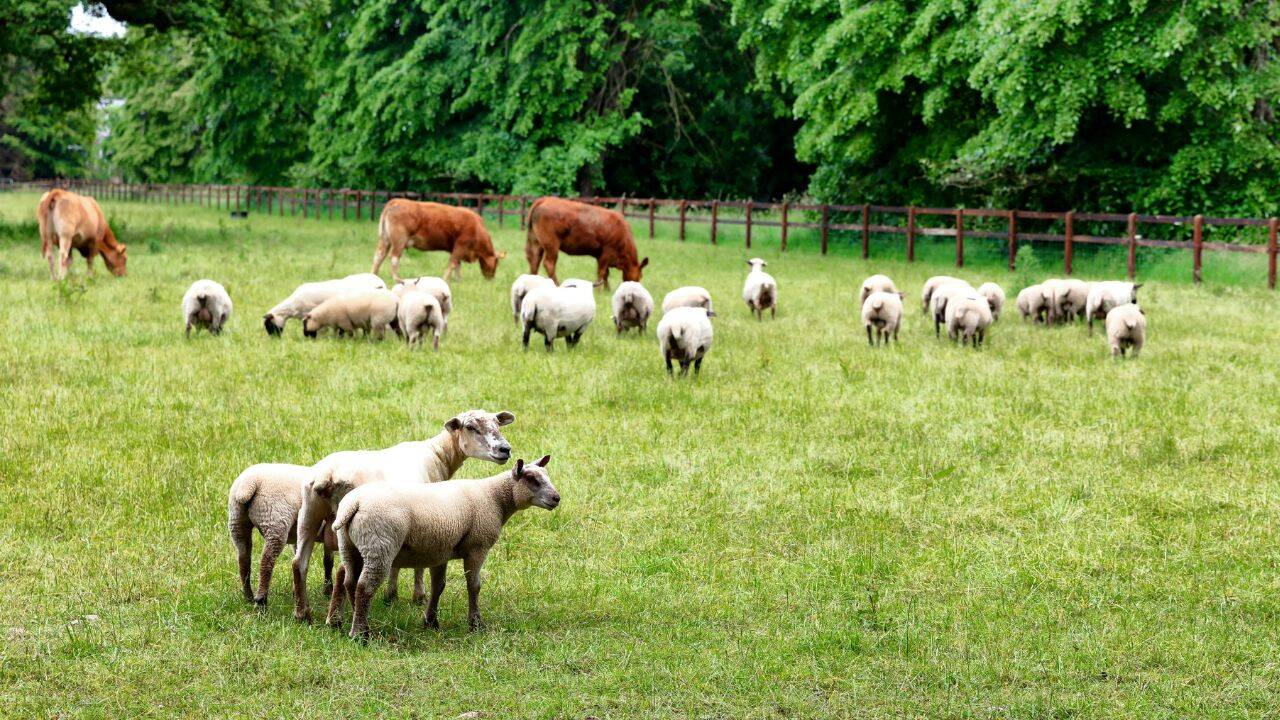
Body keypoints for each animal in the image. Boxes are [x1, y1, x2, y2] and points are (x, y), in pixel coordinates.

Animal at [228, 463, 335, 606]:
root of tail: (250, 483)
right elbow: (330, 562)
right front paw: (329, 591)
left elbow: (326, 561)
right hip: (275, 522)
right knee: (266, 561)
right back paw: (261, 601)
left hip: (237, 521)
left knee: (243, 559)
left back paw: (248, 597)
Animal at [291, 409, 516, 622]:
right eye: (470, 427)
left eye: (497, 424)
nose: (505, 450)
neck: (438, 455)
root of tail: (326, 475)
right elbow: (420, 563)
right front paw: (418, 596)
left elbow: (396, 564)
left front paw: (391, 595)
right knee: (342, 571)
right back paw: (338, 617)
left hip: (310, 514)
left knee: (299, 563)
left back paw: (303, 614)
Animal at [328, 456, 559, 639]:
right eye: (532, 480)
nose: (556, 498)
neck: (494, 498)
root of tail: (355, 503)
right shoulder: (478, 547)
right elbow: (474, 586)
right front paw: (476, 624)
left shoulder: (440, 552)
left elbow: (438, 586)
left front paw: (431, 622)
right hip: (379, 547)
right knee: (364, 587)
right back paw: (360, 634)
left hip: (351, 547)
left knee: (349, 582)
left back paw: (356, 623)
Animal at [371, 199, 506, 283]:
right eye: (496, 263)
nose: (491, 278)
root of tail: (396, 201)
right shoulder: (461, 245)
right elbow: (453, 263)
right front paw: (445, 279)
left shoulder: (456, 249)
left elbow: (457, 265)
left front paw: (459, 280)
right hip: (399, 241)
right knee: (394, 258)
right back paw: (397, 279)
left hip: (384, 240)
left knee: (379, 256)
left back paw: (374, 275)